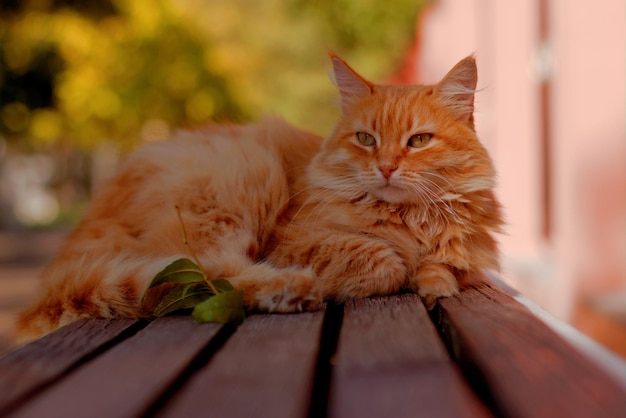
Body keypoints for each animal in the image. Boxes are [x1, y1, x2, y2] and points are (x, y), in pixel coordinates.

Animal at [15, 53, 502, 340]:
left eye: (418, 141)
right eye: (366, 139)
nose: (385, 167)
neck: (409, 219)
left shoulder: (465, 252)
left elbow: (446, 271)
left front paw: (432, 278)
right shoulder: (294, 241)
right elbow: (385, 261)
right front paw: (403, 270)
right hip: (242, 179)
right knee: (211, 278)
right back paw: (294, 290)